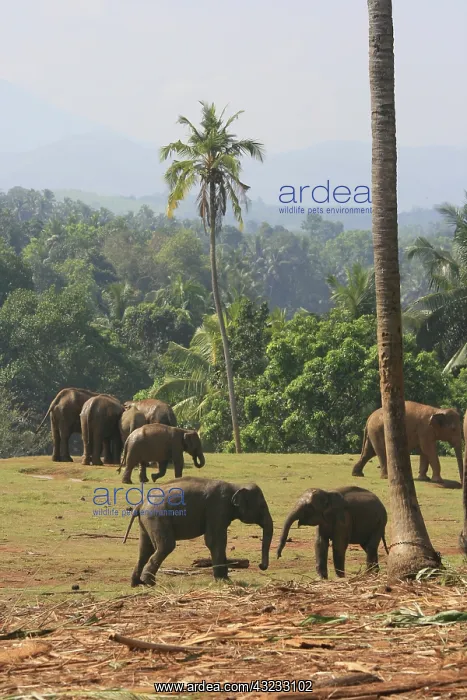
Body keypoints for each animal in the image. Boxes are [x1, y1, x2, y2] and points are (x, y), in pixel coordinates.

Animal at [122, 475, 274, 586]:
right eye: (262, 506)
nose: (261, 566)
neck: (235, 486)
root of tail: (140, 504)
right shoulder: (217, 508)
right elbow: (215, 541)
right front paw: (224, 581)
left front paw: (225, 580)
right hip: (158, 517)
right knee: (165, 546)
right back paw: (150, 583)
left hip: (147, 522)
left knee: (145, 550)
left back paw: (136, 583)